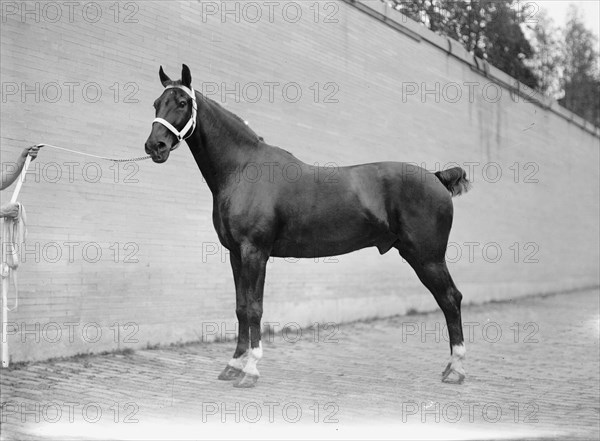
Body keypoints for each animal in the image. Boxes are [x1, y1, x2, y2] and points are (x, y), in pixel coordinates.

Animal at [146, 63, 474, 386]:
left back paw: (456, 369)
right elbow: (240, 308)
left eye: (182, 102)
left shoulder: (255, 253)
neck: (243, 169)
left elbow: (254, 308)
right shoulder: (236, 254)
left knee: (450, 299)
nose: (154, 146)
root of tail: (437, 177)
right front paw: (233, 365)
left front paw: (250, 370)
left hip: (427, 257)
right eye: (156, 103)